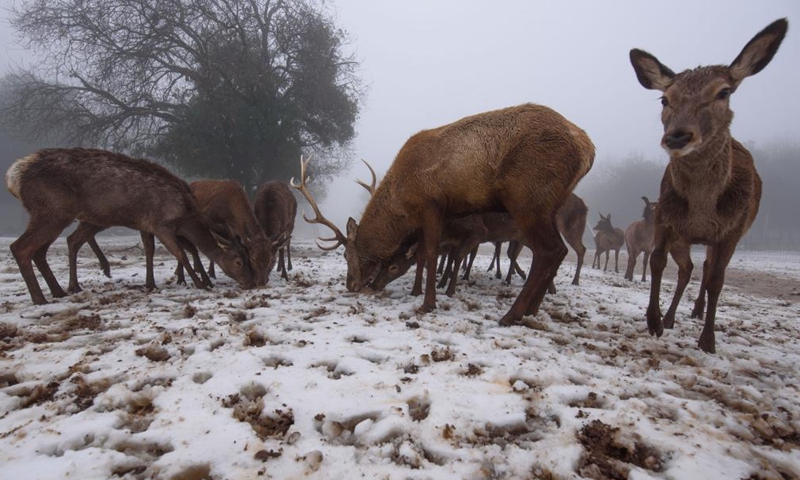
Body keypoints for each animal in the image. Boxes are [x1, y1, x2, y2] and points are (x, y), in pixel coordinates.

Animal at [4, 147, 255, 304]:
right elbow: (182, 254)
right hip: (52, 211)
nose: (251, 282)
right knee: (21, 247)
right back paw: (40, 298)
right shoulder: (160, 223)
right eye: (238, 261)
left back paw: (60, 291)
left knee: (41, 251)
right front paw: (200, 283)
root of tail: (13, 178)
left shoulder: (147, 225)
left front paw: (152, 284)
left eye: (249, 257)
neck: (185, 215)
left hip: (53, 215)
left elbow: (153, 251)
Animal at [292, 102, 592, 326]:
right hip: (550, 203)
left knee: (550, 250)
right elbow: (427, 255)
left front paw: (427, 303)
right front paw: (421, 293)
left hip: (529, 196)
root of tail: (588, 148)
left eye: (346, 255)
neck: (403, 202)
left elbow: (431, 253)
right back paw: (531, 310)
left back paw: (511, 315)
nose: (351, 284)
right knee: (557, 251)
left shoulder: (431, 205)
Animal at [632, 17, 788, 352]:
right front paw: (654, 321)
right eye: (665, 98)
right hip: (685, 239)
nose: (678, 136)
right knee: (689, 269)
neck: (702, 208)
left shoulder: (732, 230)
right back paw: (672, 317)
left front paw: (708, 340)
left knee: (707, 270)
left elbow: (718, 279)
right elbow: (658, 262)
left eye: (723, 92)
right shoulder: (667, 221)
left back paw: (697, 311)